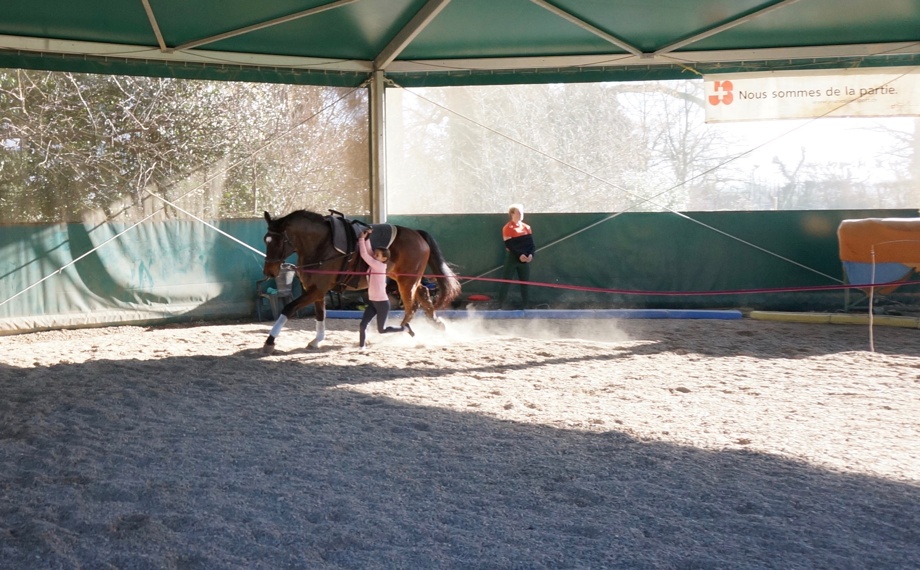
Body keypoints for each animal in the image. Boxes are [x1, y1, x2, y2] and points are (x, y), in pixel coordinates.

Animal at [261, 210, 461, 353]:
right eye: (265, 240)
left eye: (278, 242)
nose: (269, 272)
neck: (321, 245)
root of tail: (417, 234)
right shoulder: (315, 290)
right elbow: (320, 315)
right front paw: (317, 340)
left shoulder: (317, 290)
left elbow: (289, 308)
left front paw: (270, 342)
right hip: (405, 279)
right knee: (423, 293)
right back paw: (437, 324)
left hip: (406, 281)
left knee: (411, 306)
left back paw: (401, 331)